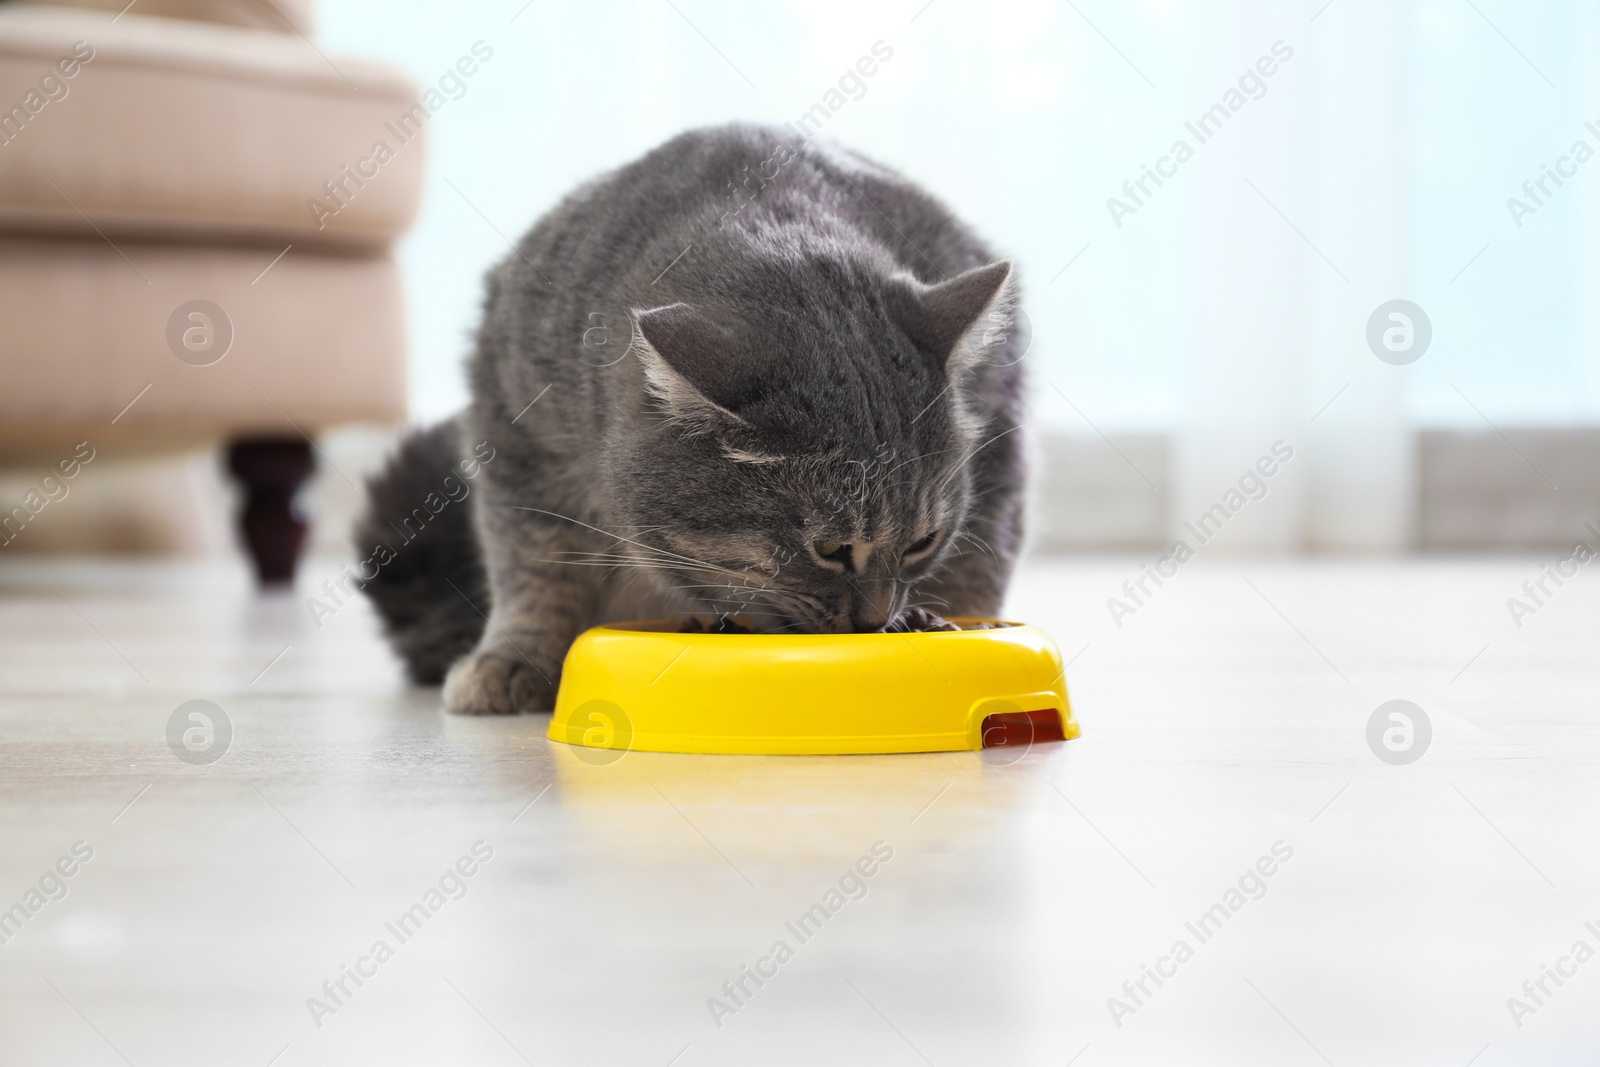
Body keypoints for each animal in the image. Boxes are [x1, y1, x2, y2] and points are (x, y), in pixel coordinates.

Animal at [356, 120, 1024, 713]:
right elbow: (533, 568)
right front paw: (514, 659)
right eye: (830, 549)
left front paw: (941, 621)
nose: (876, 620)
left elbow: (977, 560)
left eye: (922, 542)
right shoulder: (515, 434)